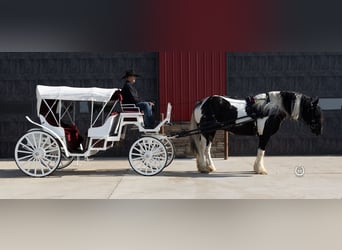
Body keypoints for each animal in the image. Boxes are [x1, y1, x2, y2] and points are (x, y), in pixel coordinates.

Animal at [190, 91, 324, 175]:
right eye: (315, 111)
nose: (319, 130)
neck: (270, 108)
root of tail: (202, 103)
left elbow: (261, 153)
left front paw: (257, 168)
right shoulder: (265, 135)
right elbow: (261, 152)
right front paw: (260, 170)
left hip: (205, 133)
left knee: (202, 149)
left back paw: (203, 167)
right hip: (209, 131)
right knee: (205, 149)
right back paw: (209, 168)